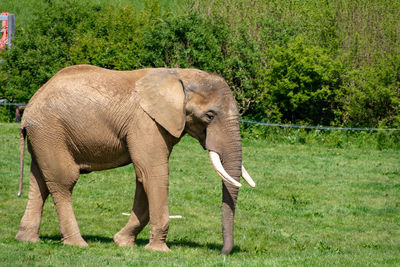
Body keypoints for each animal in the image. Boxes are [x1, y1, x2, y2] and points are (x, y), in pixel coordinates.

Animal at [15, 65, 255, 255]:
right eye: (210, 116)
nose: (221, 253)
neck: (180, 75)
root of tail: (29, 106)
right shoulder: (145, 121)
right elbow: (154, 173)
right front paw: (159, 250)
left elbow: (143, 177)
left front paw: (122, 243)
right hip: (50, 131)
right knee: (63, 181)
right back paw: (77, 244)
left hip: (43, 135)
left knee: (40, 181)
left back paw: (27, 240)